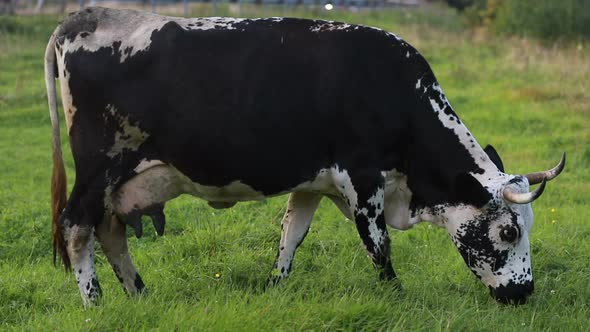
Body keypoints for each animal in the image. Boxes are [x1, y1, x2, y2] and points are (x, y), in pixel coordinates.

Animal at [44, 7, 568, 306]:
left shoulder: (314, 183)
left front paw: (275, 288)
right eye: (508, 231)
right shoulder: (363, 178)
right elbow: (378, 245)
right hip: (98, 168)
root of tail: (84, 16)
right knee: (77, 226)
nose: (525, 293)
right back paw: (94, 303)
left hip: (119, 183)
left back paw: (138, 295)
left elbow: (291, 236)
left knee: (110, 231)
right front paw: (396, 296)